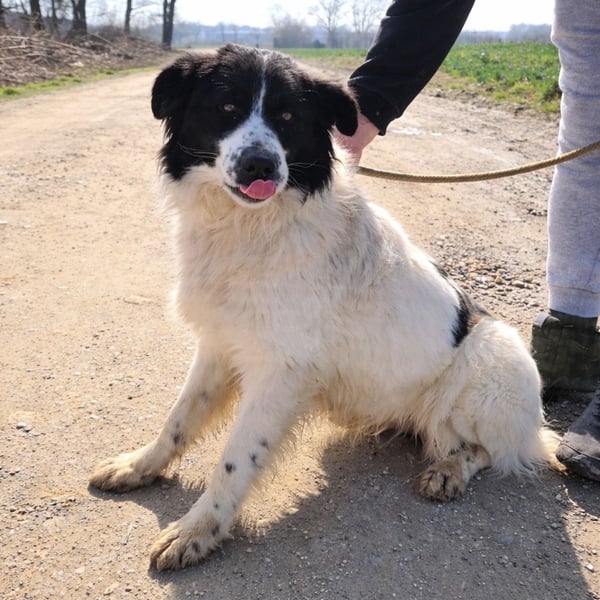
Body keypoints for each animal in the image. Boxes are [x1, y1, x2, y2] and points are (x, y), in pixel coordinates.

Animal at [89, 44, 561, 571]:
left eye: (288, 117)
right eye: (226, 107)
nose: (260, 166)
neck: (253, 227)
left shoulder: (281, 372)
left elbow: (235, 459)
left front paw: (198, 530)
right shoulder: (219, 344)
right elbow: (179, 418)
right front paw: (139, 466)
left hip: (490, 360)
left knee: (492, 449)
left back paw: (448, 469)